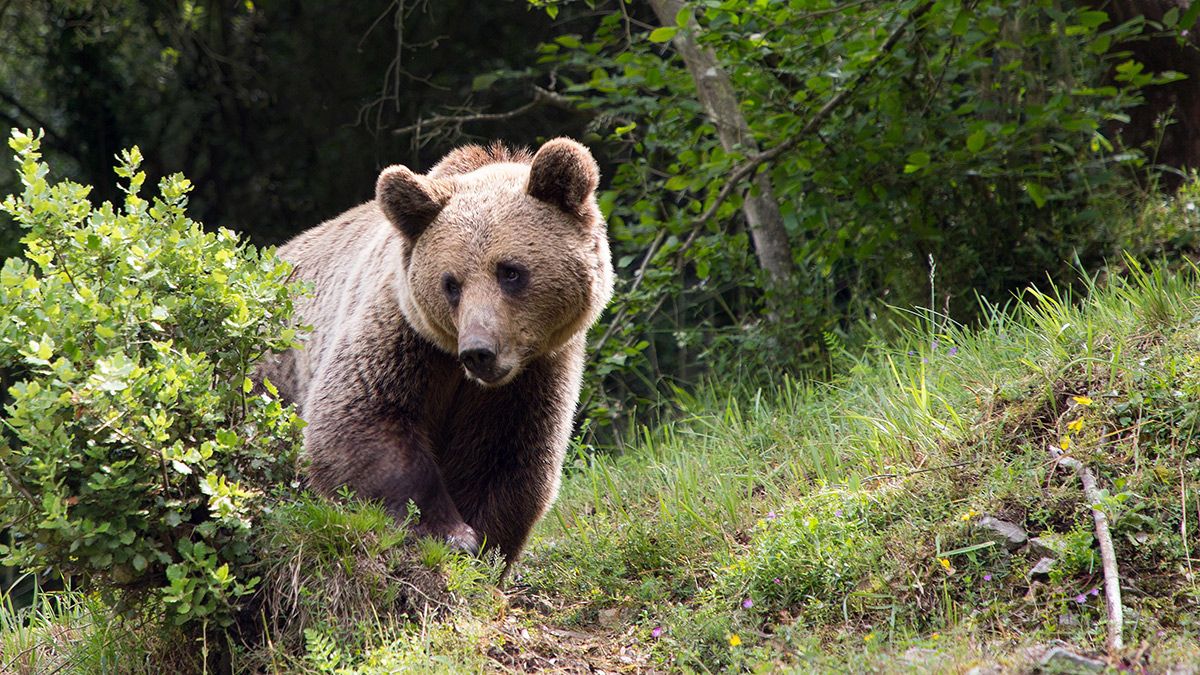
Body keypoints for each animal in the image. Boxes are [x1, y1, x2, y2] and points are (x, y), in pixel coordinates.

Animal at [260, 138, 619, 562]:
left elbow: (507, 458)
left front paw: (484, 543)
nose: (479, 351)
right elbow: (359, 419)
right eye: (451, 283)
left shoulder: (534, 375)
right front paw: (449, 532)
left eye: (510, 271)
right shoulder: (403, 337)